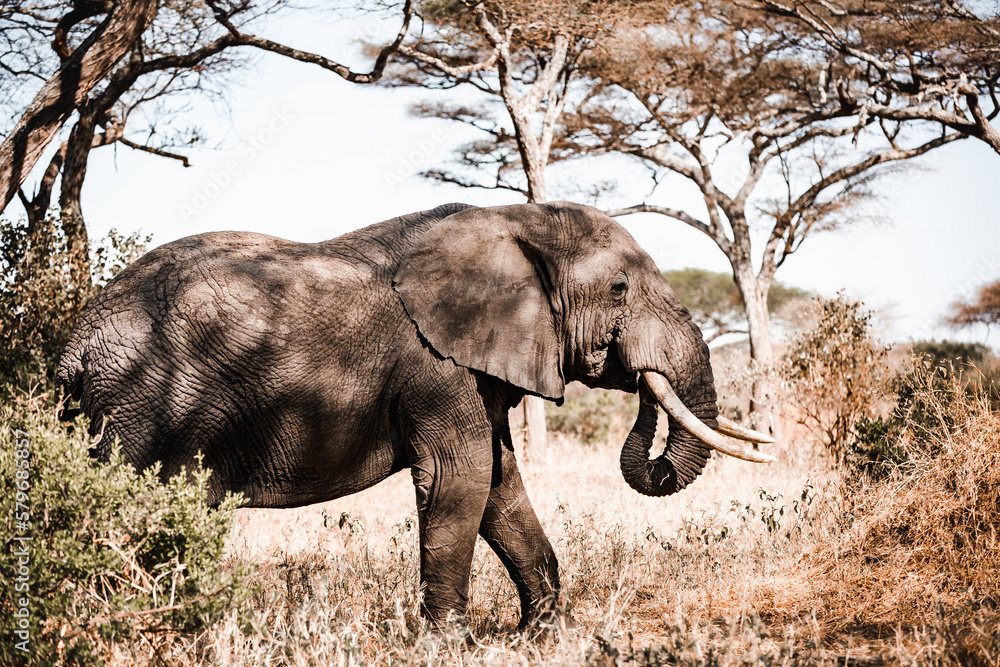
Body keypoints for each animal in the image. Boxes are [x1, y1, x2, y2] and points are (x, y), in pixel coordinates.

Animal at [57, 201, 774, 628]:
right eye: (619, 289)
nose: (630, 370)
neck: (513, 221)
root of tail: (76, 340)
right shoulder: (435, 364)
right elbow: (461, 477)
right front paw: (451, 639)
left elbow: (499, 482)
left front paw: (541, 631)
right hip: (144, 401)